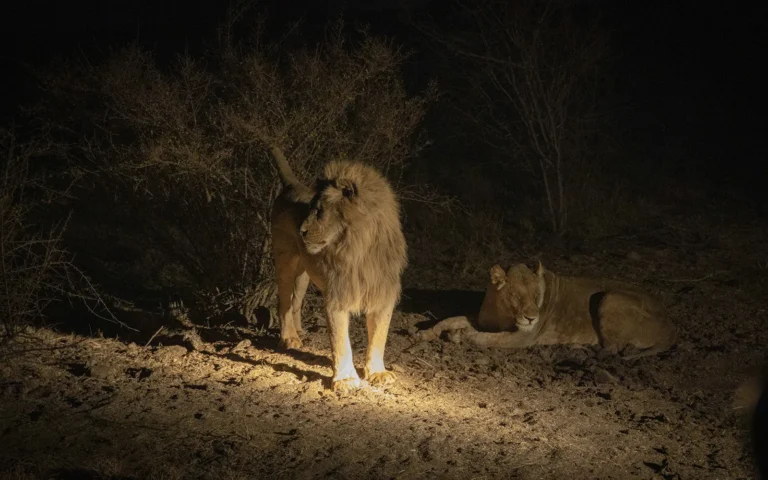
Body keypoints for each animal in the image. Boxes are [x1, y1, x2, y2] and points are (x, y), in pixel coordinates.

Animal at [269, 146, 408, 392]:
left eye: (319, 211)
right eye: (312, 209)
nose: (301, 231)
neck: (359, 250)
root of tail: (292, 186)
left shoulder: (383, 293)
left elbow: (379, 336)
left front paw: (378, 373)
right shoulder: (338, 295)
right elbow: (340, 340)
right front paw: (345, 379)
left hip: (304, 273)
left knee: (296, 301)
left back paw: (299, 331)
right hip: (284, 260)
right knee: (283, 302)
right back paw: (289, 338)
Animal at [414, 262, 677, 358]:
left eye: (536, 296)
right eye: (516, 296)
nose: (532, 318)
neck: (502, 311)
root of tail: (672, 327)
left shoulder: (522, 337)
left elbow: (483, 338)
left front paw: (459, 336)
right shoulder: (482, 320)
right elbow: (450, 319)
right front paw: (425, 333)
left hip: (609, 297)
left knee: (614, 348)